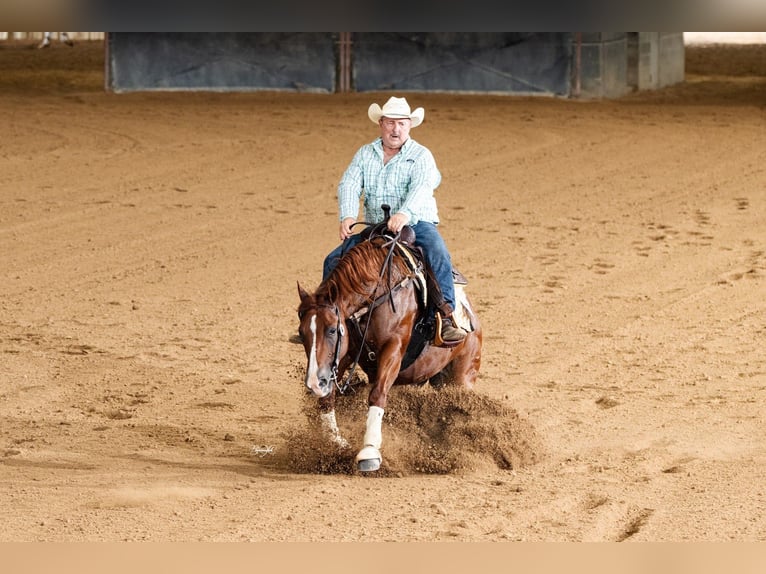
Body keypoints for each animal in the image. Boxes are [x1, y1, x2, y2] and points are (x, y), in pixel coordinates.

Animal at [296, 228, 482, 472]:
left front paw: (369, 451)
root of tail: (472, 318)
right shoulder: (346, 353)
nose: (314, 383)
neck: (377, 294)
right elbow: (328, 397)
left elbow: (377, 393)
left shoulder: (394, 348)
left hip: (462, 376)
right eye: (302, 333)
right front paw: (335, 443)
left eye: (332, 330)